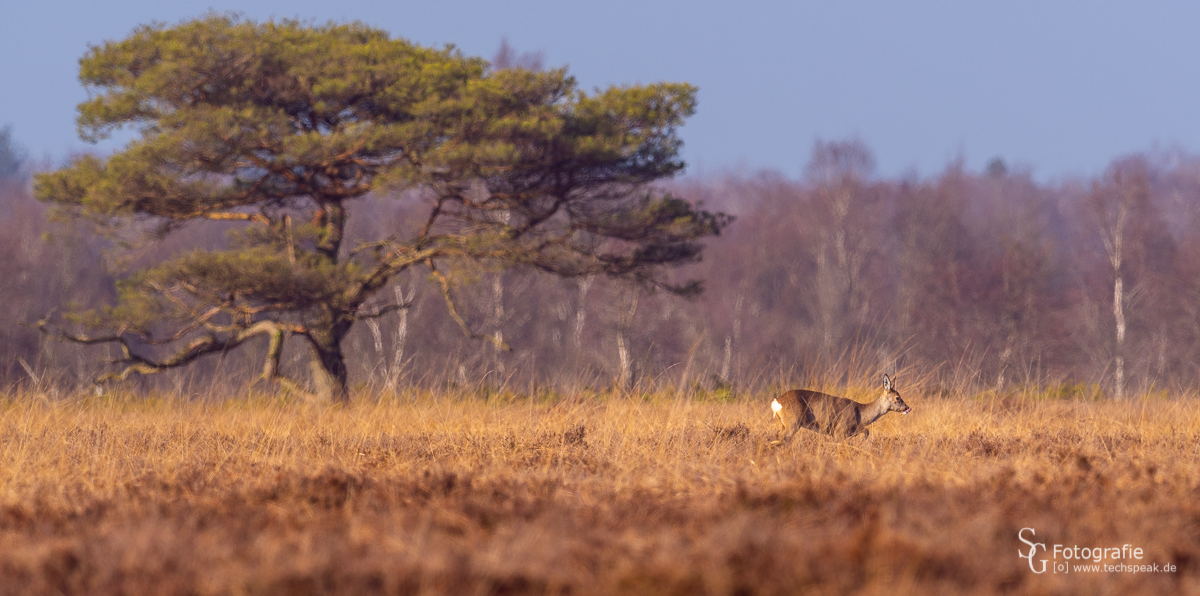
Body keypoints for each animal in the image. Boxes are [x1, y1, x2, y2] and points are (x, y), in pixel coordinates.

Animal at [768, 374, 907, 443]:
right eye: (897, 398)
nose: (907, 408)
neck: (860, 414)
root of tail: (777, 401)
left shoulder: (850, 431)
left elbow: (866, 431)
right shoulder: (839, 431)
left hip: (785, 423)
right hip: (793, 422)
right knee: (781, 438)